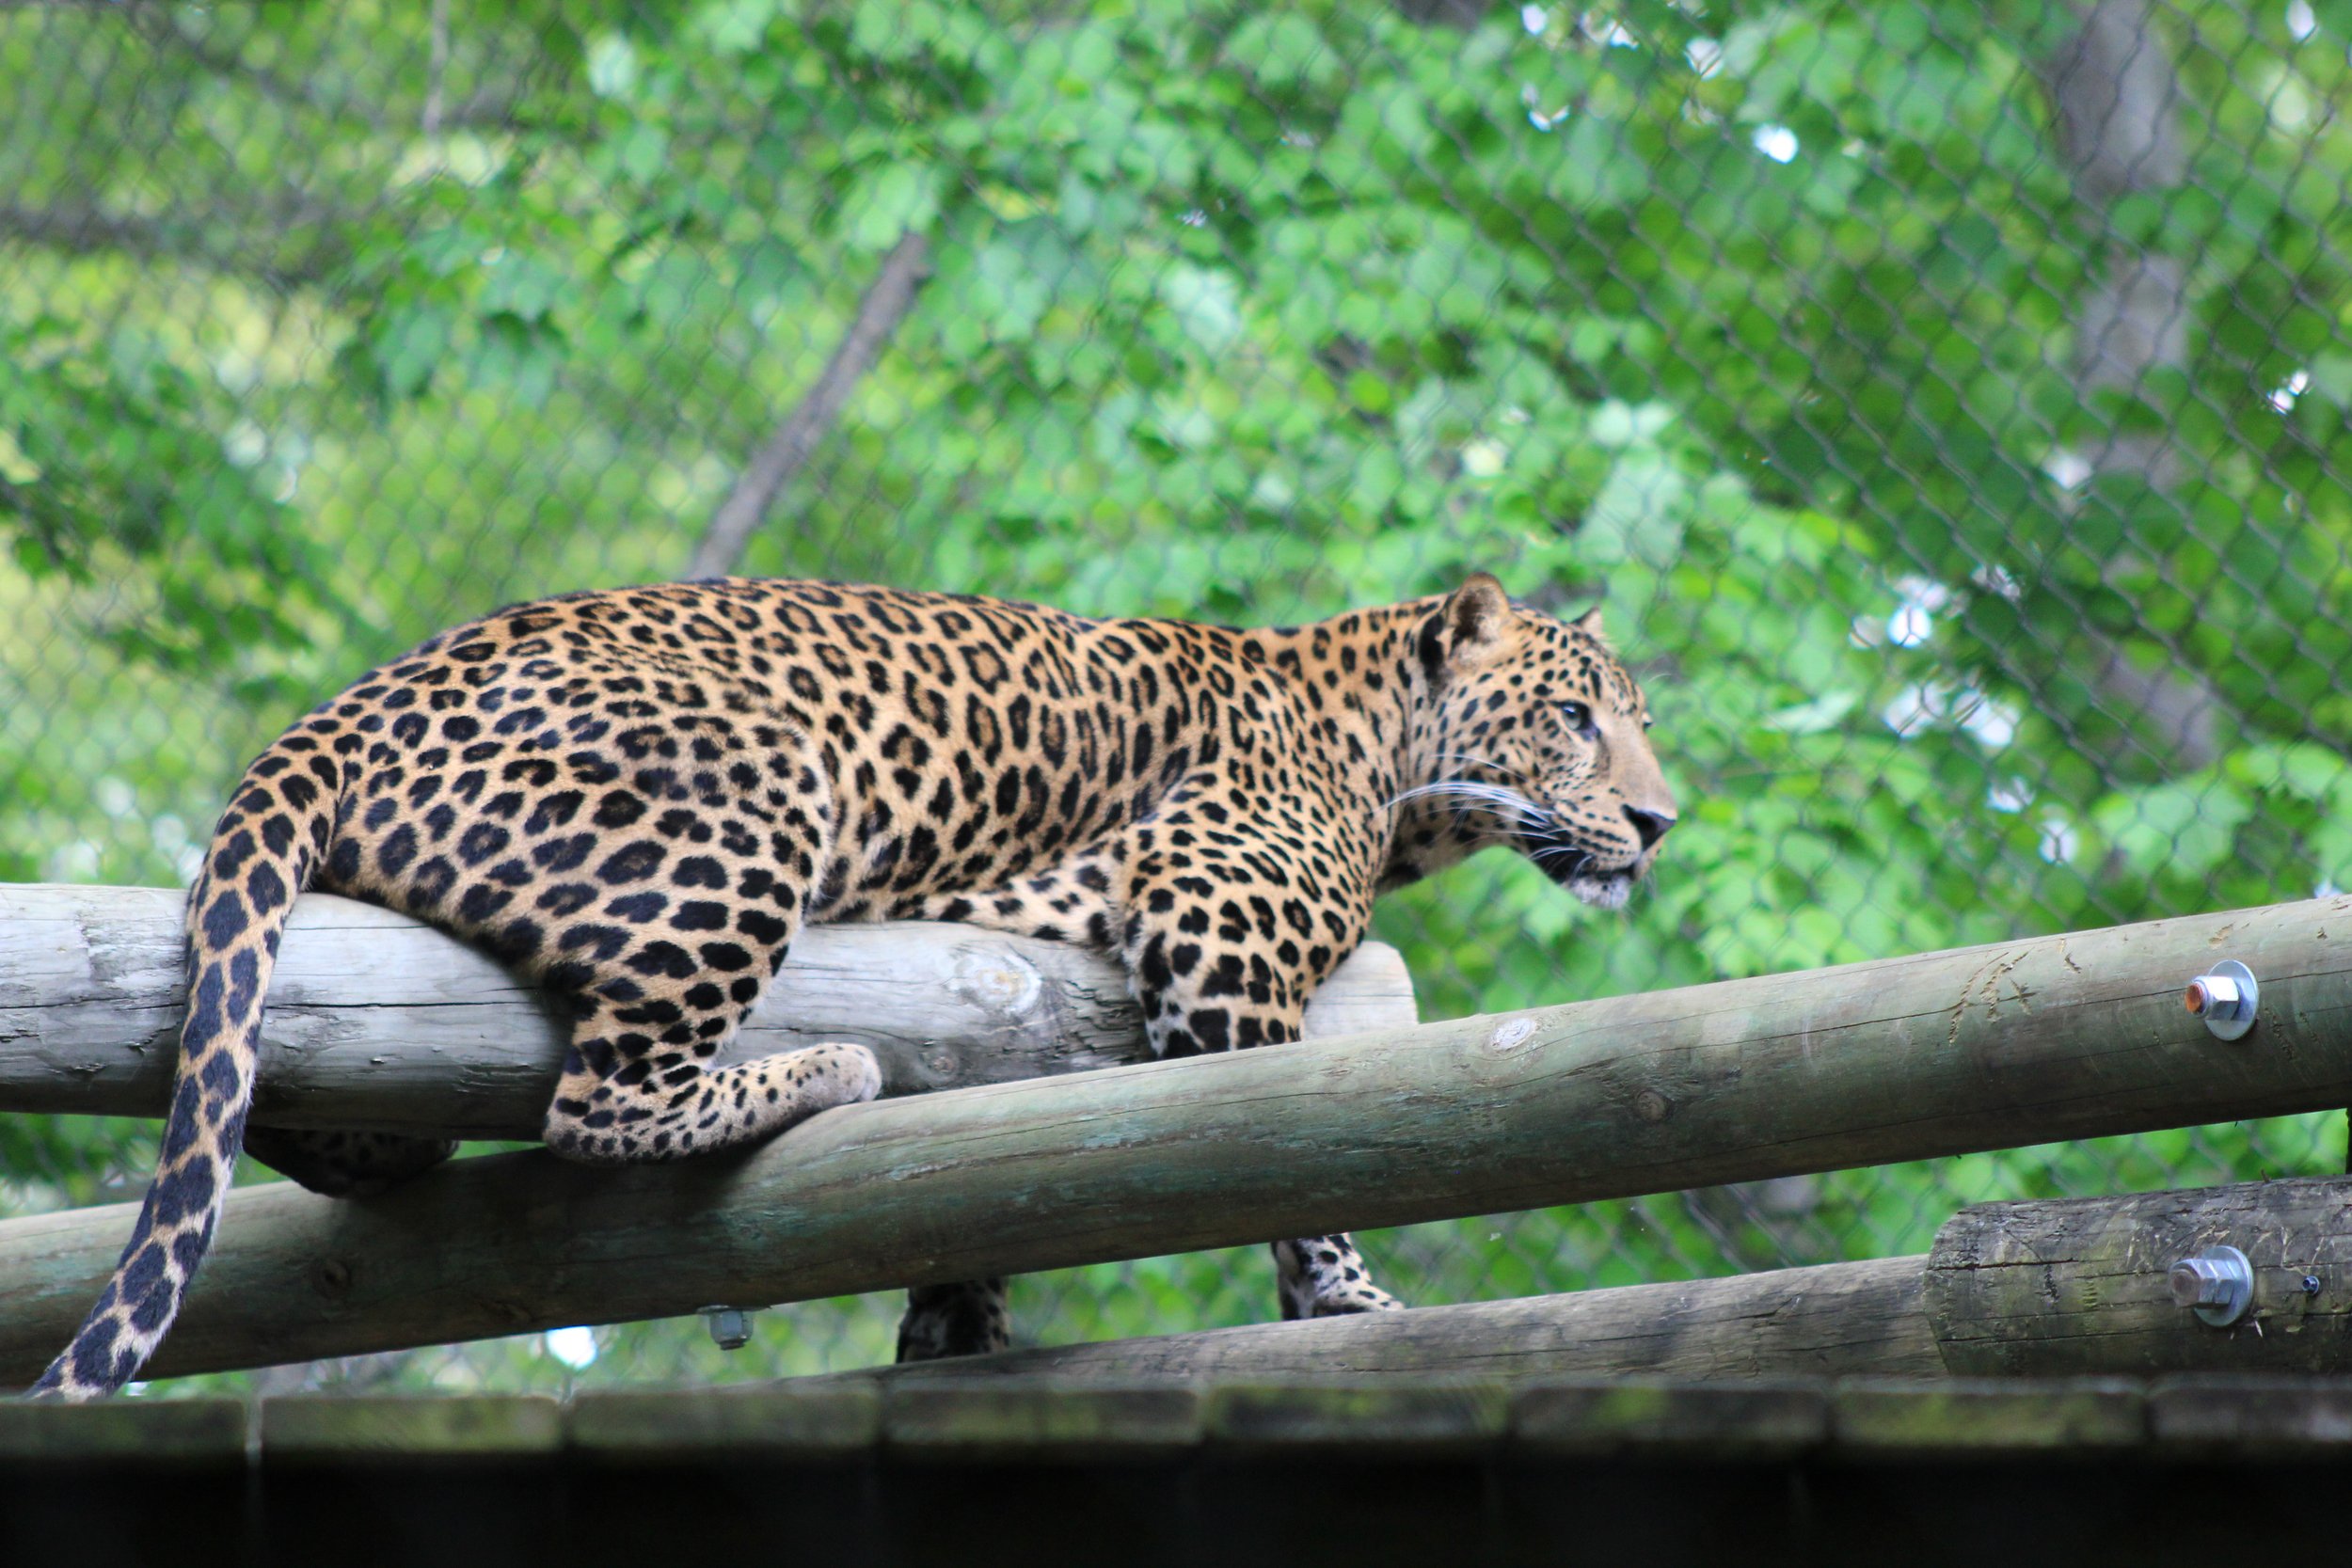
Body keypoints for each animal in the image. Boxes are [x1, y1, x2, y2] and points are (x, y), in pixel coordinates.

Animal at [31, 571, 1675, 1399]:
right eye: (1578, 719)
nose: (1662, 823)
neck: (1390, 765)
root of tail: (343, 706)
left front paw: (953, 1321)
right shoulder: (1214, 918)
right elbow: (1273, 1132)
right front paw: (1346, 1299)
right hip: (759, 796)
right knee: (596, 1099)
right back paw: (821, 1071)